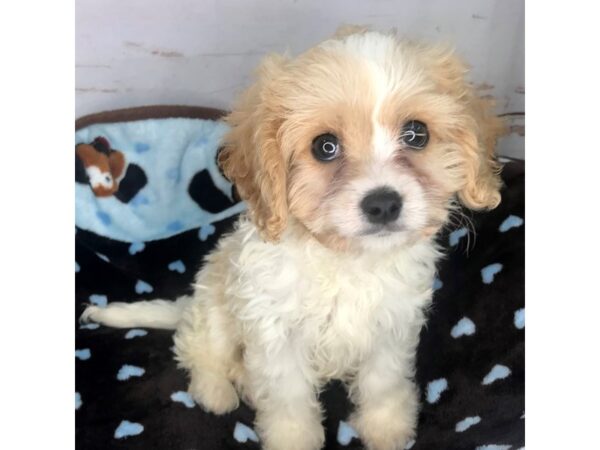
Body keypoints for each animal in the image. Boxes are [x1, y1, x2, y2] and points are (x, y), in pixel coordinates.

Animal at [79, 27, 502, 450]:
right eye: (324, 146)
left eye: (417, 134)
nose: (383, 204)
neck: (346, 259)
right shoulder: (276, 334)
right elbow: (288, 400)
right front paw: (293, 439)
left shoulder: (392, 325)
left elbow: (383, 381)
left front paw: (387, 429)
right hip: (216, 308)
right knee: (198, 351)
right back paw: (216, 392)